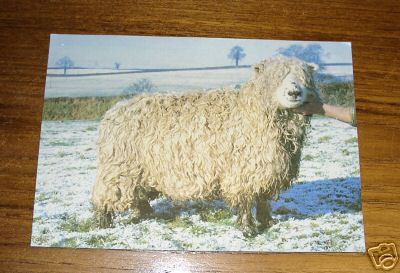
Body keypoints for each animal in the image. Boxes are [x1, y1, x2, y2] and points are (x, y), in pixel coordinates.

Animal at [90, 54, 318, 236]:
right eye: (275, 77)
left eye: (304, 76)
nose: (294, 93)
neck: (253, 110)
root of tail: (114, 111)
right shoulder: (243, 170)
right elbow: (245, 201)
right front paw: (247, 229)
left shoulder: (265, 170)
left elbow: (263, 199)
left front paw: (267, 221)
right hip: (119, 168)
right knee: (106, 194)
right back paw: (103, 223)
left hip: (139, 170)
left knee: (138, 195)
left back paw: (142, 214)